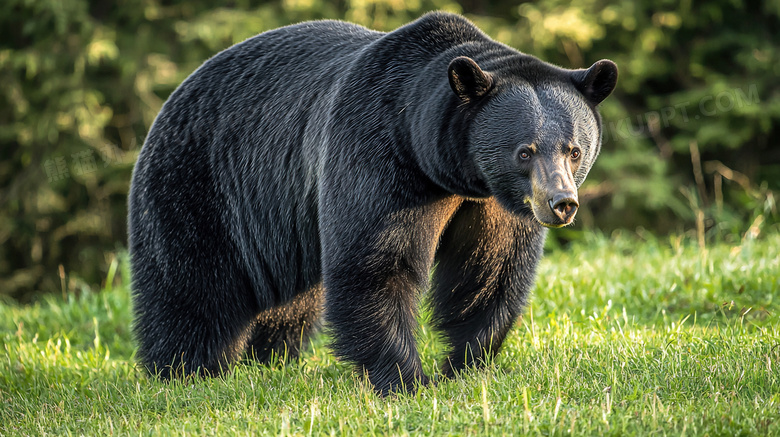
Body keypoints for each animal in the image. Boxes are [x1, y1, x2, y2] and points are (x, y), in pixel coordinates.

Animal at [128, 10, 616, 394]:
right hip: (202, 187)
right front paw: (406, 379)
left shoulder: (492, 203)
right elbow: (377, 265)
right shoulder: (378, 158)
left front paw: (463, 364)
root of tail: (174, 95)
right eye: (525, 151)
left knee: (290, 305)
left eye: (574, 149)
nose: (561, 203)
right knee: (191, 285)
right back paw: (187, 370)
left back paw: (267, 360)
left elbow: (488, 271)